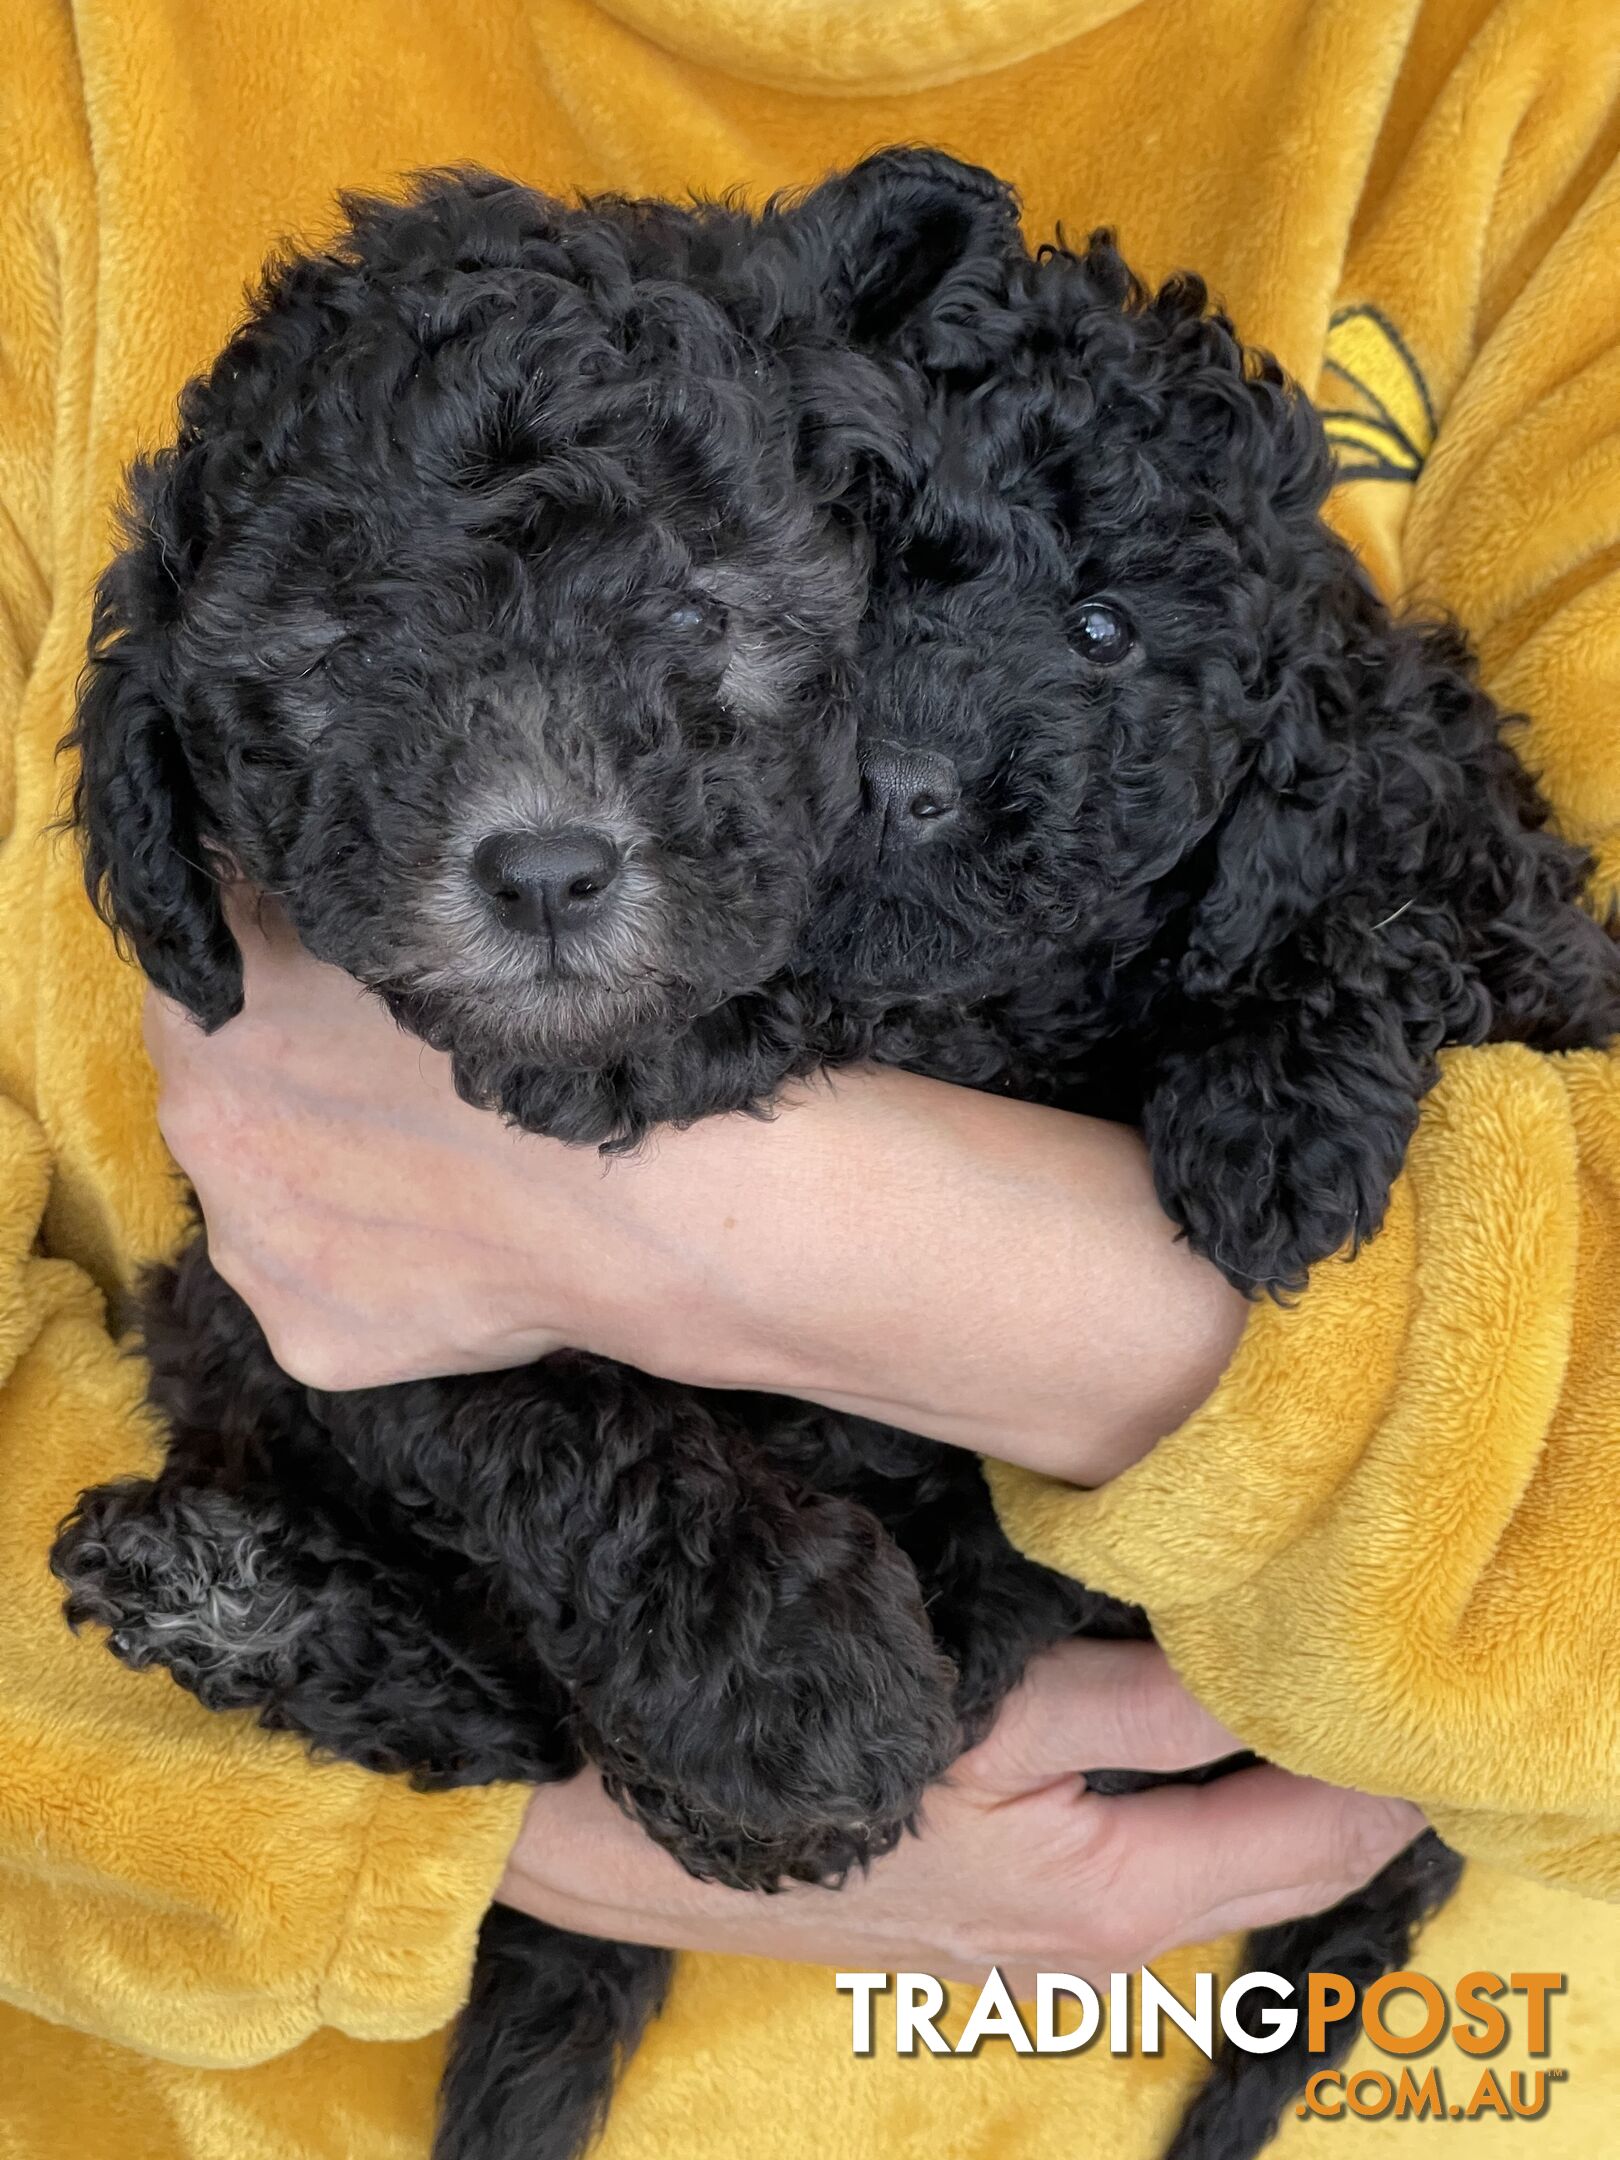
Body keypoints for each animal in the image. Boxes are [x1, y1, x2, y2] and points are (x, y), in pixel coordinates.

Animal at [54, 152, 1620, 2160]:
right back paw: (245, 1607)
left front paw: (1281, 1104)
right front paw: (790, 1689)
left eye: (701, 614)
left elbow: (1393, 897)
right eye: (328, 658)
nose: (549, 872)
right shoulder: (323, 1289)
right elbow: (538, 1409)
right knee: (515, 1730)